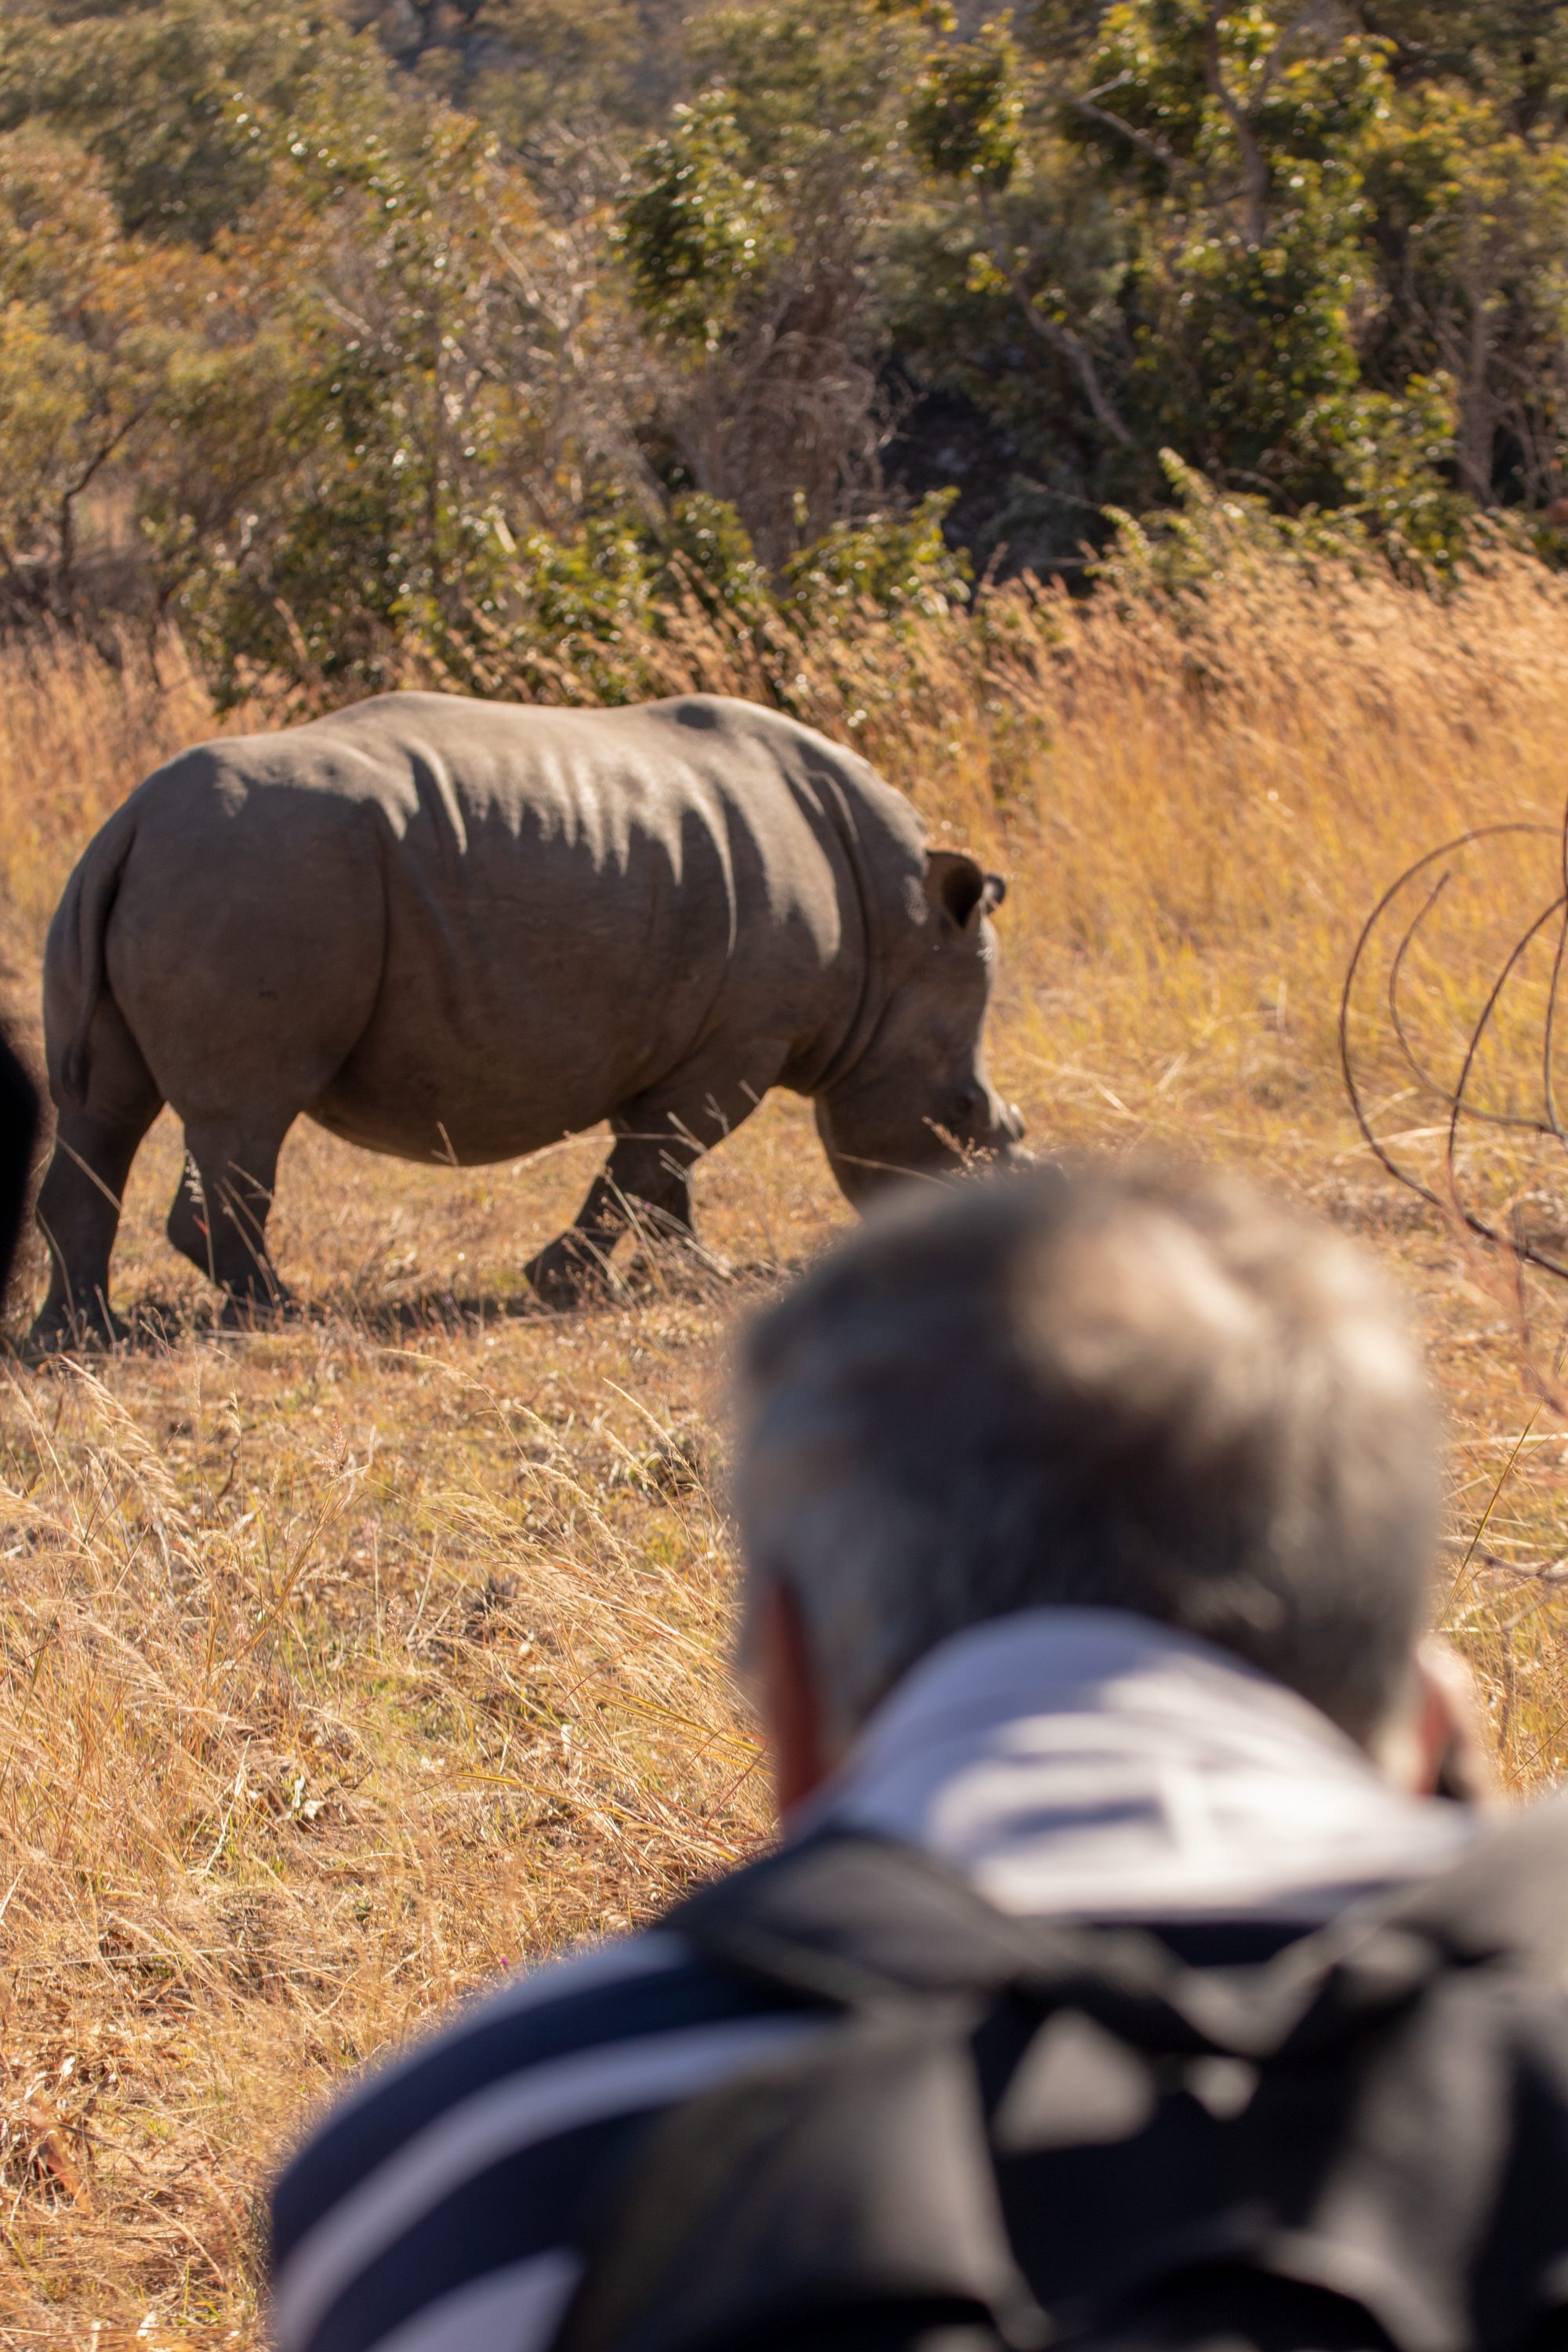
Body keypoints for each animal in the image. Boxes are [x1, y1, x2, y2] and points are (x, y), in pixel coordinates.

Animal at [28, 691, 1020, 1349]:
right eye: (968, 1116)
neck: (897, 929)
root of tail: (132, 817)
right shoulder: (747, 1034)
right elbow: (653, 1160)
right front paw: (565, 1285)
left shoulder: (682, 1031)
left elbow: (660, 1168)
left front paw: (698, 1276)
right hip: (256, 874)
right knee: (245, 1118)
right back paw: (280, 1314)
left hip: (170, 874)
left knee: (104, 1110)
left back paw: (80, 1337)